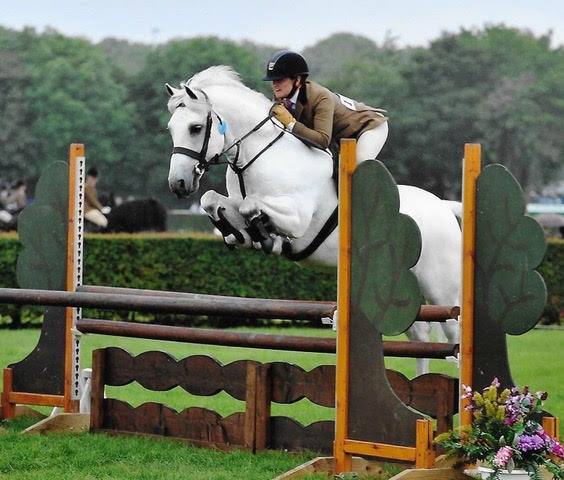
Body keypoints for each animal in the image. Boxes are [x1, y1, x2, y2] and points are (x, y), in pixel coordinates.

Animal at [165, 66, 460, 376]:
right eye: (171, 128)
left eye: (195, 128)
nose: (178, 184)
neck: (258, 156)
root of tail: (443, 207)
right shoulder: (231, 199)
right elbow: (212, 199)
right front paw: (240, 234)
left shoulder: (297, 218)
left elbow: (251, 206)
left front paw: (267, 237)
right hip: (394, 284)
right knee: (420, 335)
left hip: (442, 289)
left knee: (454, 336)